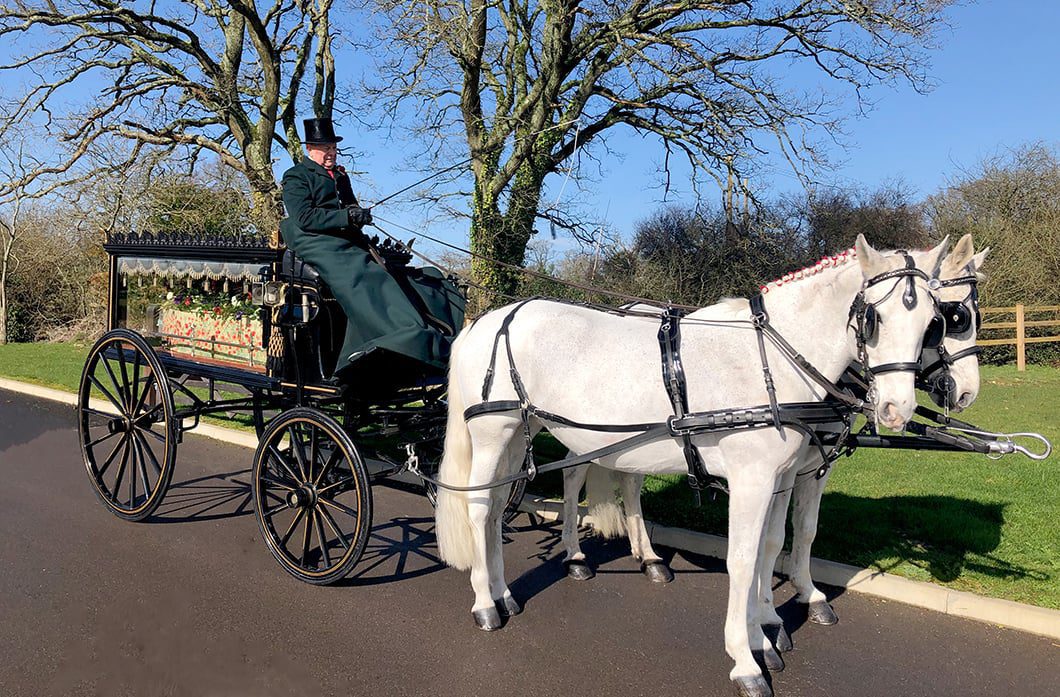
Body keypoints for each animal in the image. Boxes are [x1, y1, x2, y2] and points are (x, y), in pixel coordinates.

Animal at [434, 235, 949, 694]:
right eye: (874, 317)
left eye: (933, 321)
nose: (897, 409)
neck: (770, 359)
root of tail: (489, 319)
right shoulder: (752, 480)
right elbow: (743, 560)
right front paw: (746, 658)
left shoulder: (782, 478)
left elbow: (771, 547)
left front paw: (765, 634)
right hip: (494, 433)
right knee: (481, 508)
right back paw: (486, 602)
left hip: (523, 432)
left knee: (501, 507)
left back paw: (505, 590)